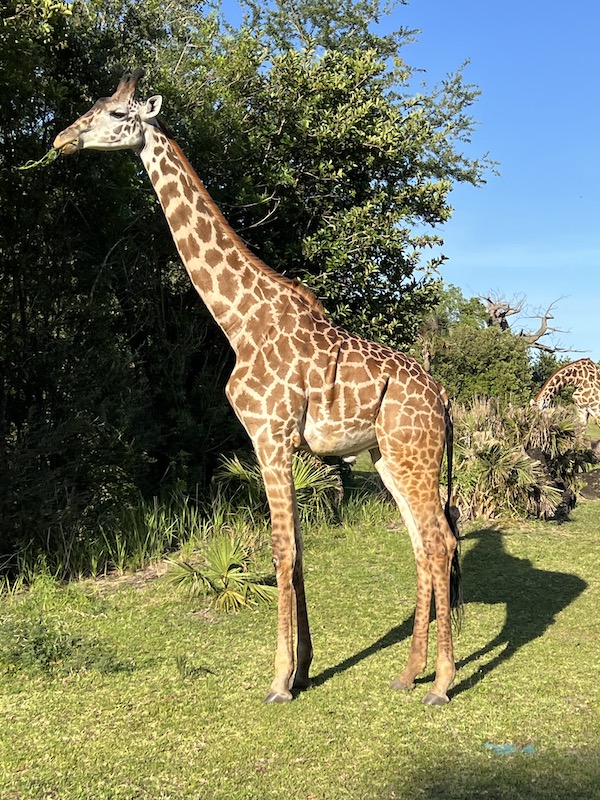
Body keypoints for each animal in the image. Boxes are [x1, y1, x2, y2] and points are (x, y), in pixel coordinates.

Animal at [54, 70, 461, 705]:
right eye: (93, 106)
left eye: (117, 113)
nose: (62, 139)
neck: (238, 321)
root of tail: (444, 399)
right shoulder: (280, 444)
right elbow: (295, 554)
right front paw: (305, 669)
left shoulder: (269, 437)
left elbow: (282, 550)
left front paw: (279, 682)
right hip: (388, 457)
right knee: (423, 543)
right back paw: (407, 673)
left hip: (413, 454)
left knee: (440, 542)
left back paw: (440, 684)